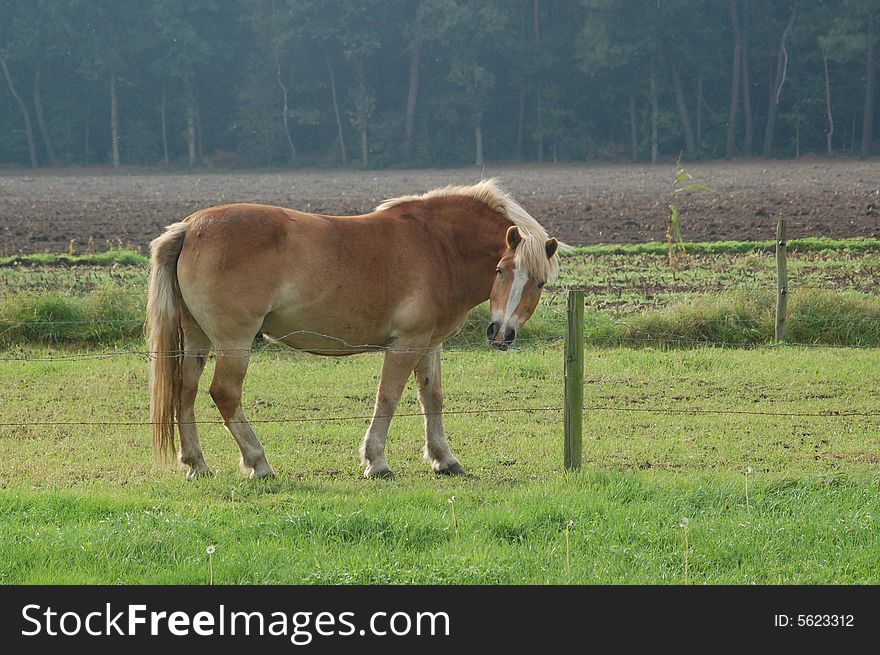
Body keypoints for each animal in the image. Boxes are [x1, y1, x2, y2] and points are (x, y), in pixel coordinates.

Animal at [144, 178, 556, 476]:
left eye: (539, 283)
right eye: (501, 270)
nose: (501, 333)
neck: (439, 245)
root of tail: (190, 227)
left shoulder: (429, 342)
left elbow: (432, 397)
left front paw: (444, 459)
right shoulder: (406, 343)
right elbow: (388, 397)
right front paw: (377, 462)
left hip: (197, 338)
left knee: (186, 391)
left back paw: (197, 464)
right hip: (235, 341)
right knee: (225, 394)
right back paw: (258, 463)